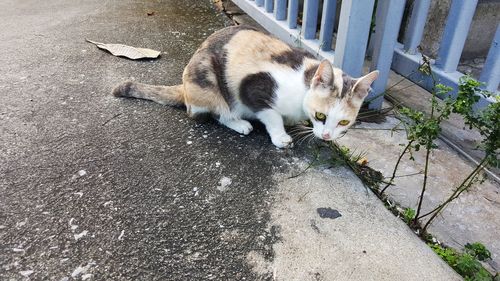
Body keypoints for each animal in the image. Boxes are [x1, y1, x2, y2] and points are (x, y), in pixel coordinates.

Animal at [113, 25, 378, 148]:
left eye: (343, 122)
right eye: (321, 115)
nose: (326, 136)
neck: (304, 82)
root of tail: (185, 88)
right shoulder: (253, 87)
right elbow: (271, 115)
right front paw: (281, 136)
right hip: (208, 81)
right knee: (214, 113)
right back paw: (240, 123)